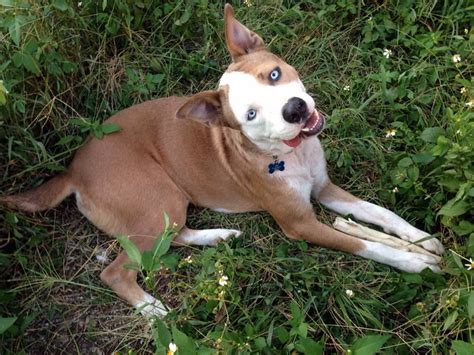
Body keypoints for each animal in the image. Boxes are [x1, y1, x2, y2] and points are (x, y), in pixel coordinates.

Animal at [0, 4, 444, 318]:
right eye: (249, 114)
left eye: (274, 74)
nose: (296, 109)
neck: (288, 154)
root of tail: (72, 169)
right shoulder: (300, 224)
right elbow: (365, 245)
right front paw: (417, 263)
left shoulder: (324, 188)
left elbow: (381, 214)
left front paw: (423, 240)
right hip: (156, 196)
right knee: (117, 270)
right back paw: (154, 310)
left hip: (165, 208)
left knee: (173, 235)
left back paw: (219, 236)